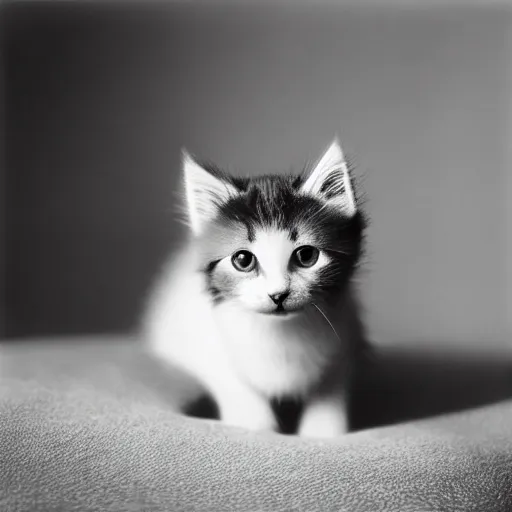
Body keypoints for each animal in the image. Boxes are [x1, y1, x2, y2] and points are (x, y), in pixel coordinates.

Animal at [142, 139, 368, 436]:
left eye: (307, 256)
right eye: (243, 260)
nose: (278, 295)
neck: (281, 334)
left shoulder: (347, 335)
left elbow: (331, 386)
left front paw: (322, 430)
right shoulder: (199, 338)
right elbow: (232, 380)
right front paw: (255, 424)